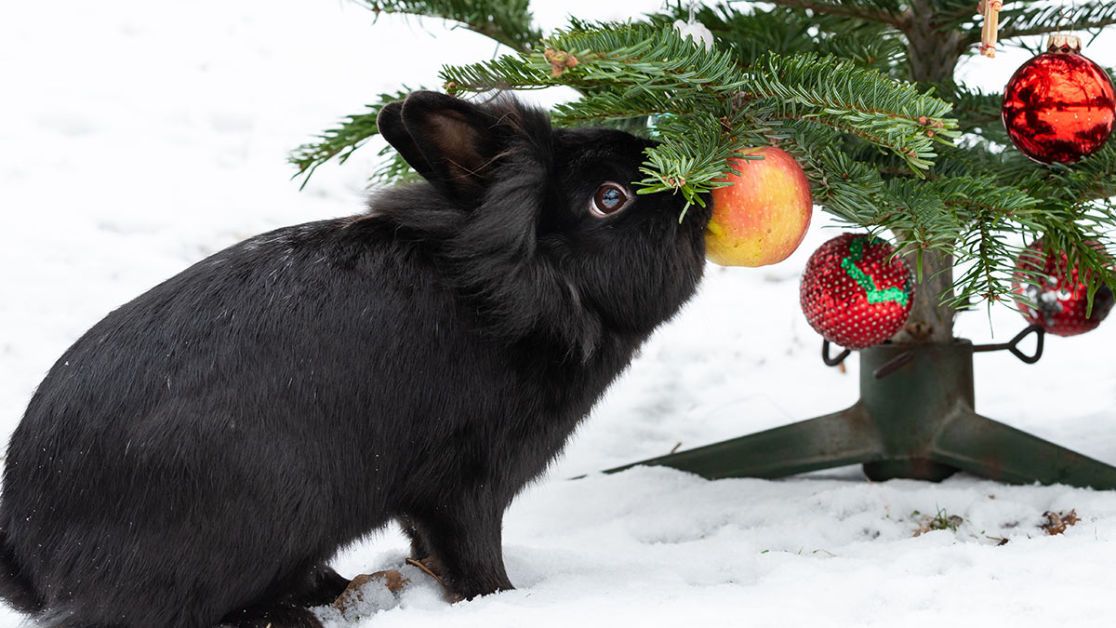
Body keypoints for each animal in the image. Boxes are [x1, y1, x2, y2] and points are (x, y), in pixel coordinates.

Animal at [0, 90, 709, 624]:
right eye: (611, 198)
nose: (695, 188)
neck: (527, 284)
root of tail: (32, 555)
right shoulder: (467, 485)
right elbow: (471, 552)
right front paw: (506, 601)